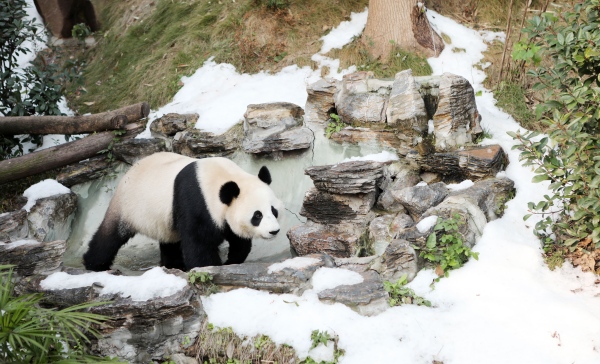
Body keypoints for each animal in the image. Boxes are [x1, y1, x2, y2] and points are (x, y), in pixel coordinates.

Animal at [82, 152, 286, 272]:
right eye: (257, 215)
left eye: (273, 210)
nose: (274, 231)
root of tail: (127, 173)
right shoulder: (196, 201)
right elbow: (198, 243)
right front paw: (211, 266)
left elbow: (238, 240)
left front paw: (231, 262)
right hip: (129, 206)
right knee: (110, 237)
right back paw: (94, 264)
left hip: (162, 219)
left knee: (170, 240)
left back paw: (173, 265)